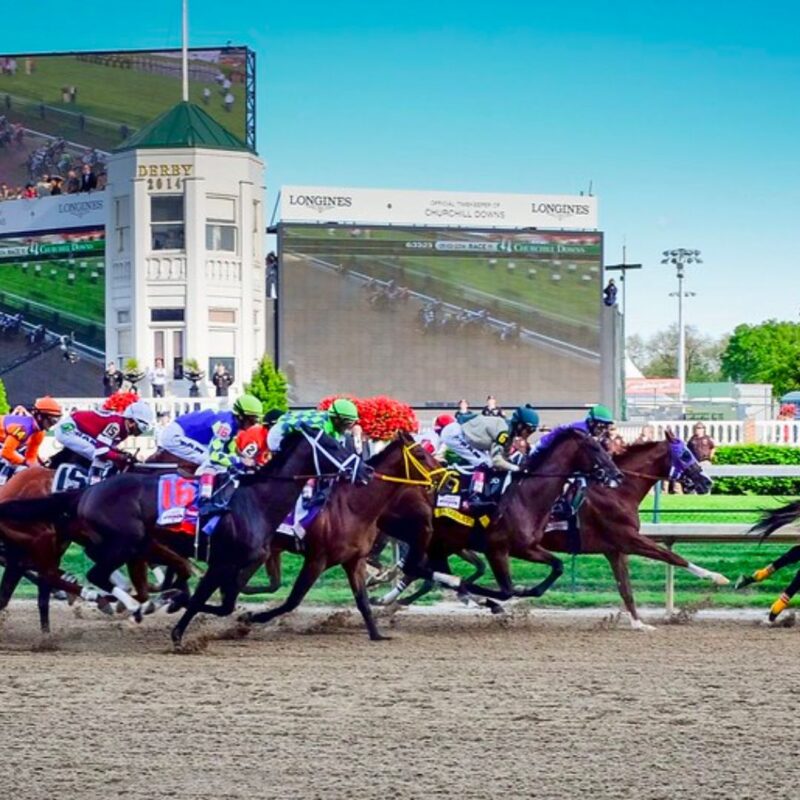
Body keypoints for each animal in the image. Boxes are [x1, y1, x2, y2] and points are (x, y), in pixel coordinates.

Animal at [244, 434, 444, 640]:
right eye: (420, 454)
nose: (444, 474)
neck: (353, 507)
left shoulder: (354, 561)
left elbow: (363, 601)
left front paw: (377, 634)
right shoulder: (317, 559)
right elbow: (293, 600)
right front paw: (254, 617)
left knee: (270, 582)